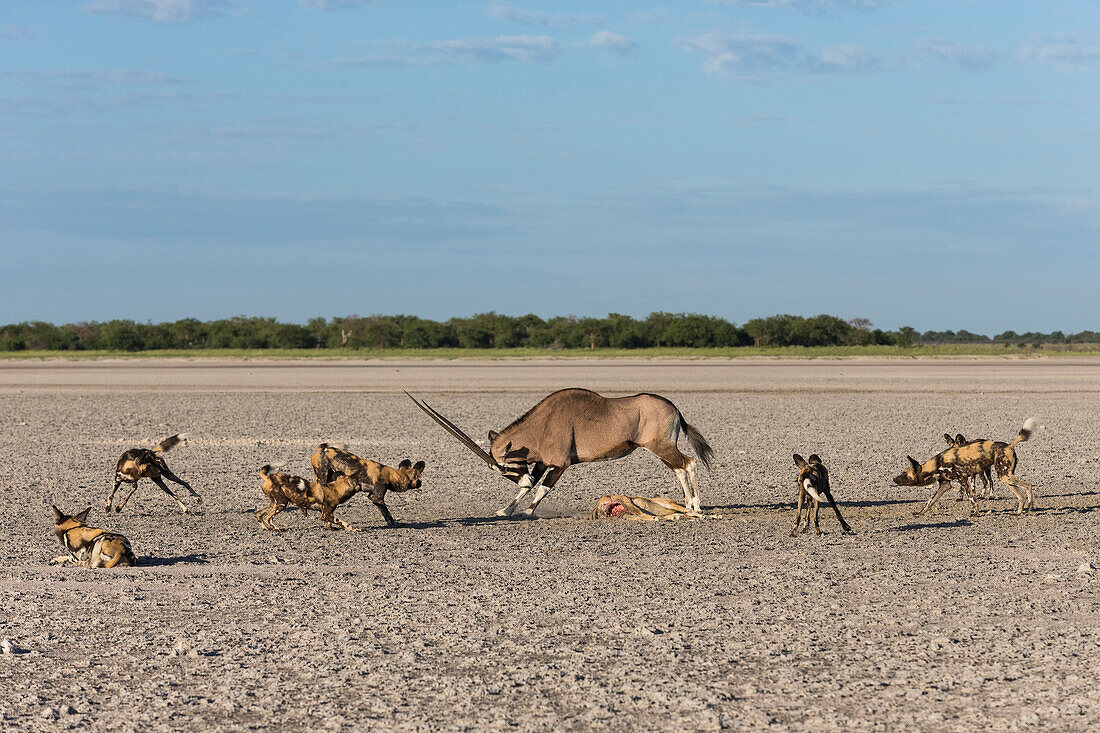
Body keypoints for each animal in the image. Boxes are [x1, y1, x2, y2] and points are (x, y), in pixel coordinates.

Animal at [407, 387, 712, 512]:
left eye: (504, 466)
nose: (521, 478)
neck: (543, 424)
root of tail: (674, 408)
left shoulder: (561, 464)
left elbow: (542, 488)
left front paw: (528, 512)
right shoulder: (541, 462)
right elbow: (531, 485)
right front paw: (505, 511)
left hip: (661, 447)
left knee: (688, 463)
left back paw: (696, 505)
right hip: (661, 450)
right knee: (680, 468)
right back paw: (687, 504)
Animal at [893, 416, 1038, 512]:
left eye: (904, 474)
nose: (894, 479)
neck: (935, 465)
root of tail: (1009, 445)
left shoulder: (963, 479)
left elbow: (972, 499)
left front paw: (975, 513)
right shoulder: (945, 485)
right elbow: (930, 501)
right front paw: (920, 513)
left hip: (1003, 475)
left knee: (1028, 485)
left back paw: (1028, 506)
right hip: (1005, 476)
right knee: (1019, 493)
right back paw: (1022, 510)